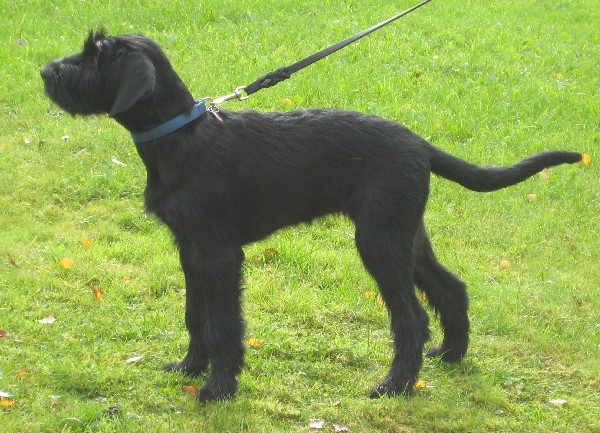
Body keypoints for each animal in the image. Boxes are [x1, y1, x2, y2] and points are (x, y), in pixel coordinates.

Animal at [41, 31, 580, 402]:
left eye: (95, 56)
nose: (47, 71)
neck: (182, 138)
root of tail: (420, 144)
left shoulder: (218, 253)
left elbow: (224, 321)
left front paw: (218, 387)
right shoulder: (190, 248)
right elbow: (196, 313)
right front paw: (190, 367)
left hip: (379, 242)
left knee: (412, 317)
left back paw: (395, 385)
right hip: (405, 235)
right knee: (451, 288)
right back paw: (450, 355)